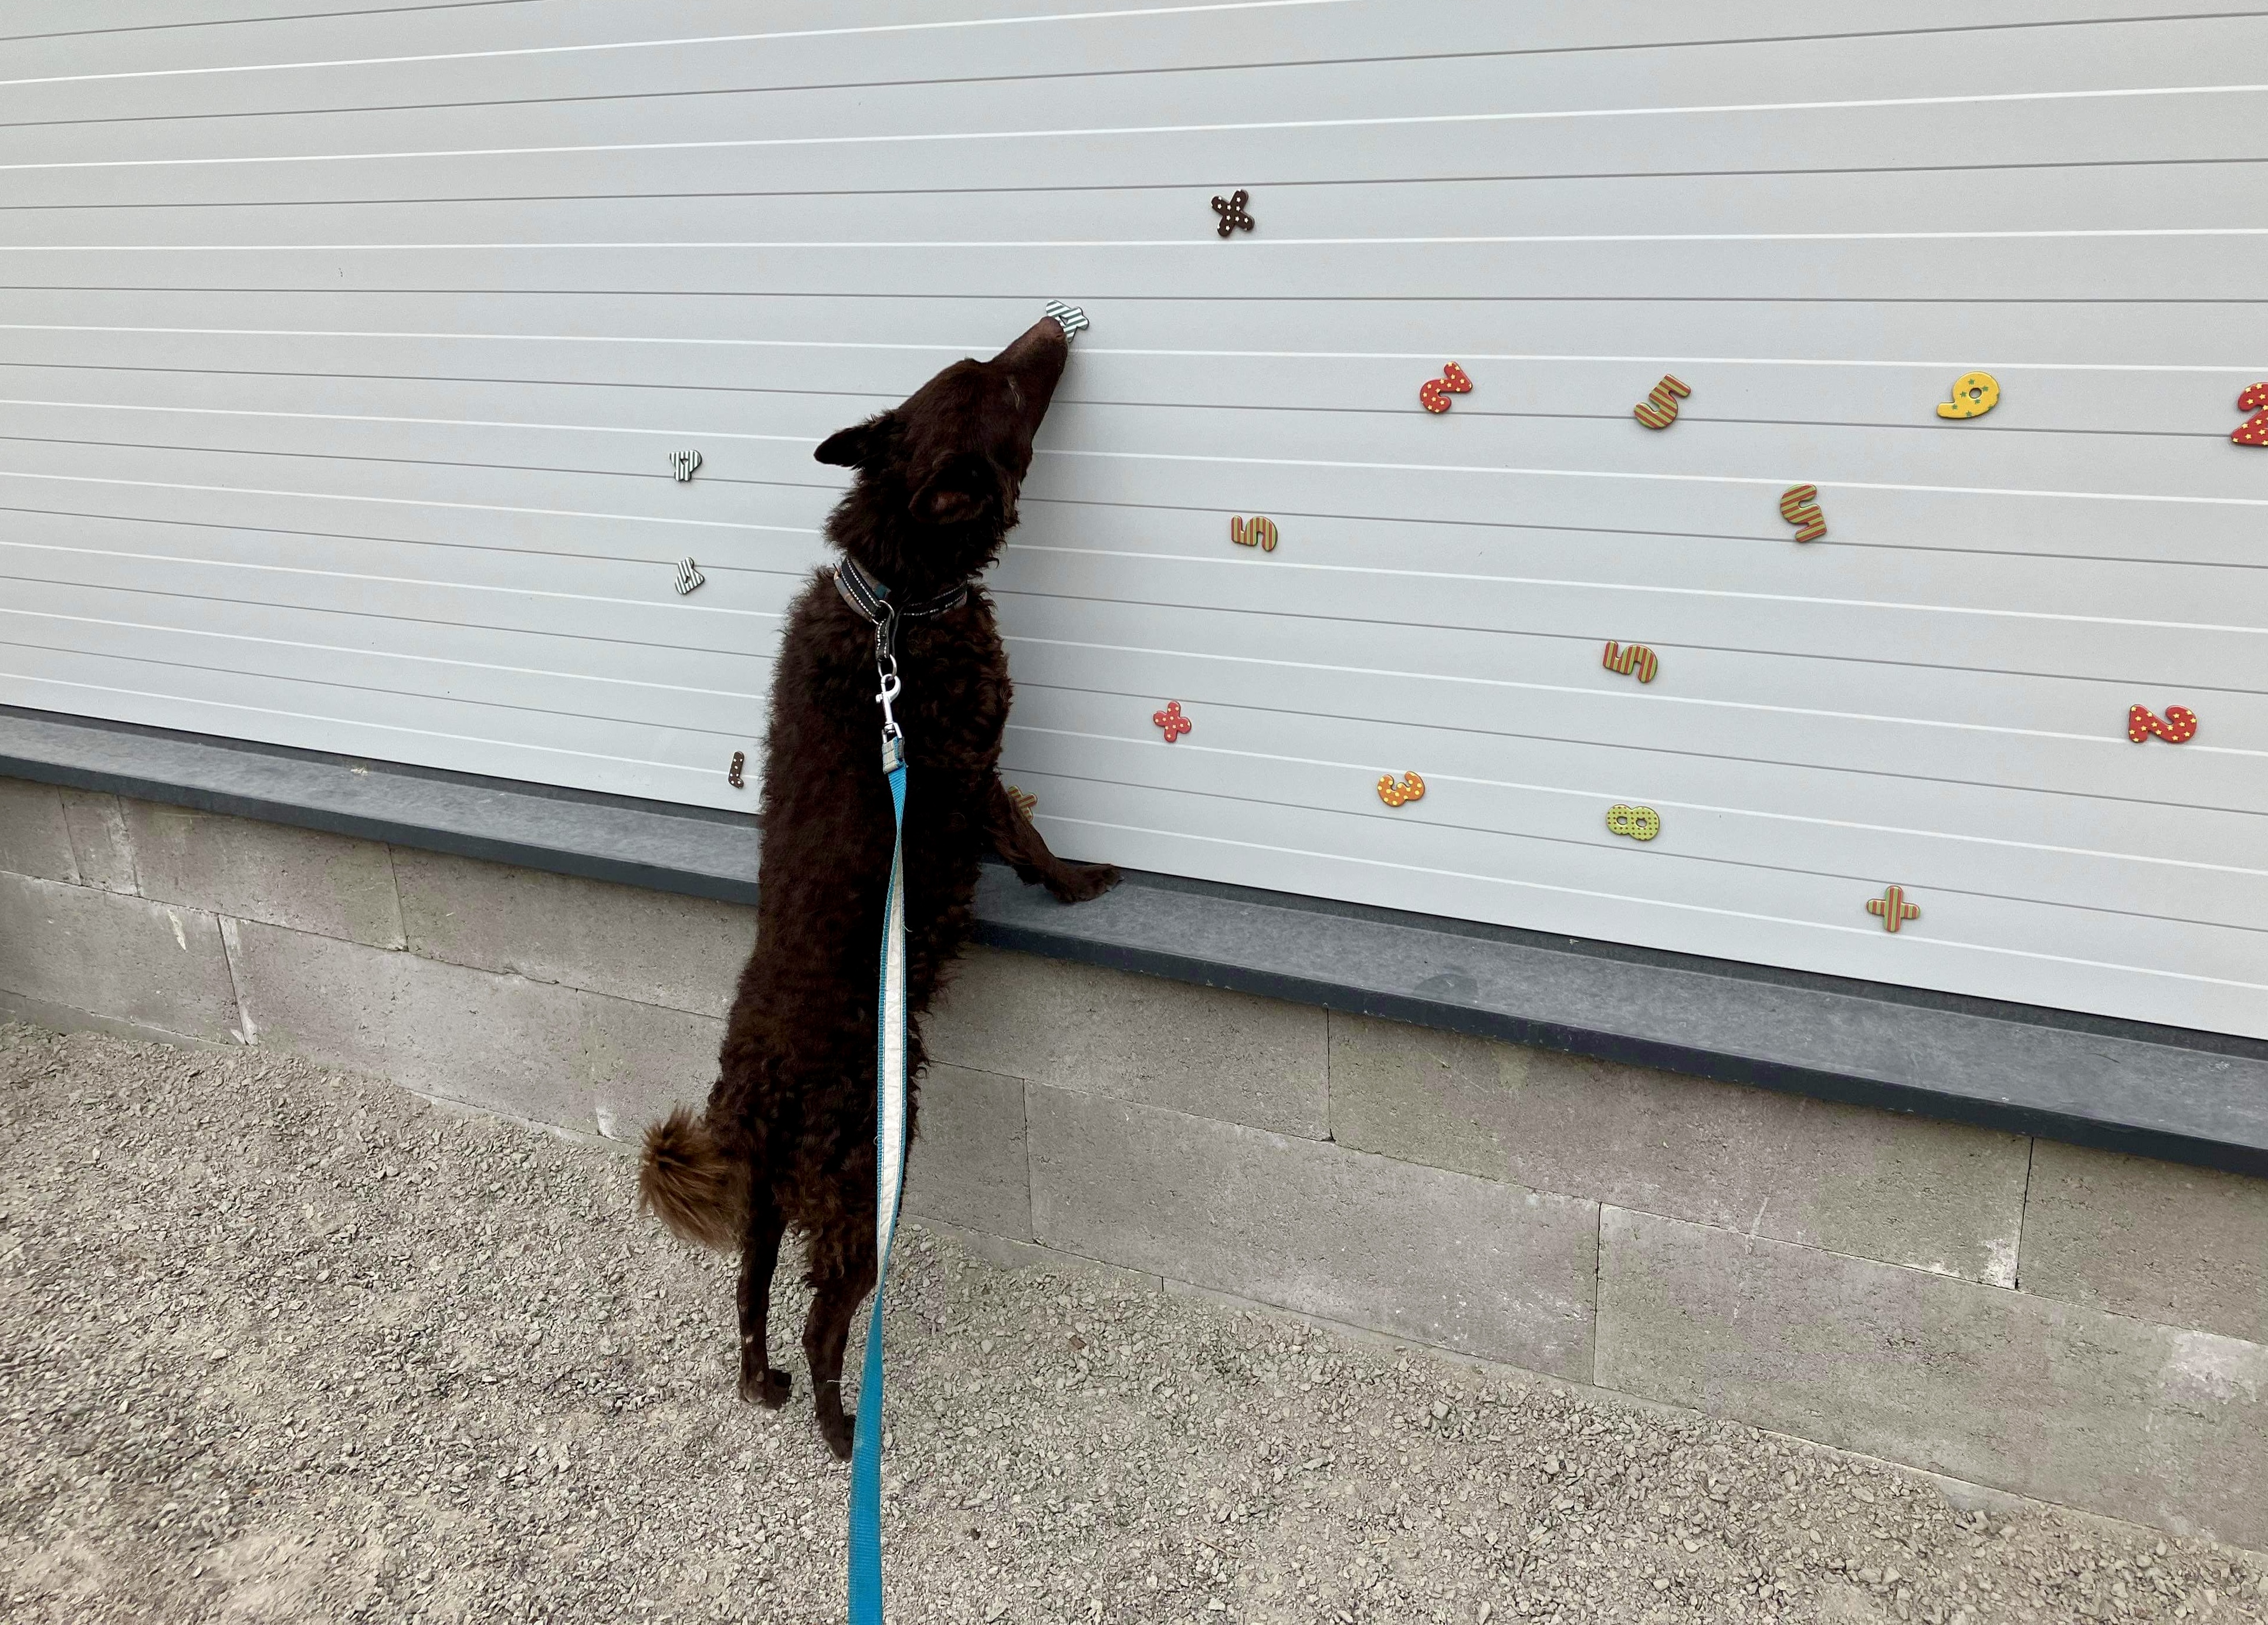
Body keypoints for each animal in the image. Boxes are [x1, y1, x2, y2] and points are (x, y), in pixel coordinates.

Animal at [638, 311, 1120, 1458]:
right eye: (1001, 387)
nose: (1053, 321)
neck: (894, 595)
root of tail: (754, 1101)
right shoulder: (971, 769)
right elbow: (1029, 835)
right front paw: (1083, 882)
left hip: (772, 1206)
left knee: (749, 1296)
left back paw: (762, 1386)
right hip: (867, 1182)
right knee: (822, 1316)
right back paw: (838, 1424)